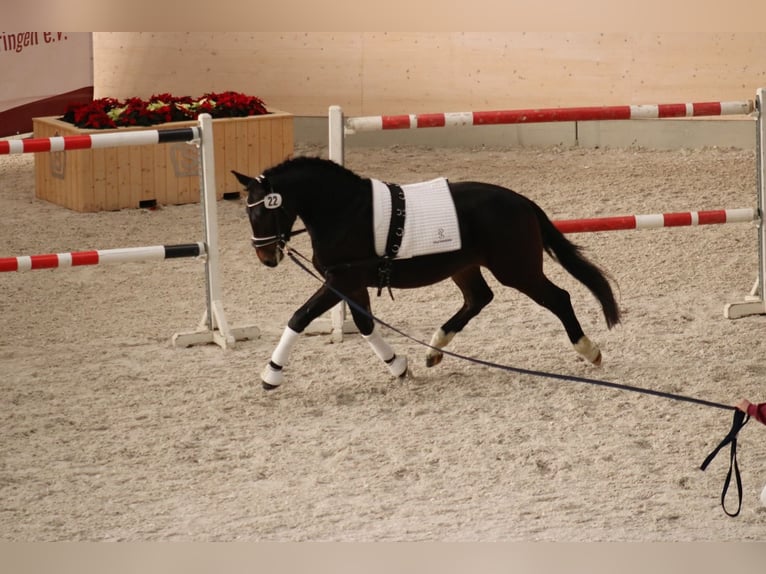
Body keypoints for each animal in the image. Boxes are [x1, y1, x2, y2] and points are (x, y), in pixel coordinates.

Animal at [233, 156, 621, 390]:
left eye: (264, 212)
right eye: (248, 212)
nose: (266, 257)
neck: (344, 210)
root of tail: (521, 201)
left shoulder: (340, 281)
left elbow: (300, 317)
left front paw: (271, 374)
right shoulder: (351, 285)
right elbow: (365, 325)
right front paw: (398, 366)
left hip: (516, 269)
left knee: (558, 298)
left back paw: (589, 350)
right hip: (465, 267)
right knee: (478, 298)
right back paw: (435, 349)